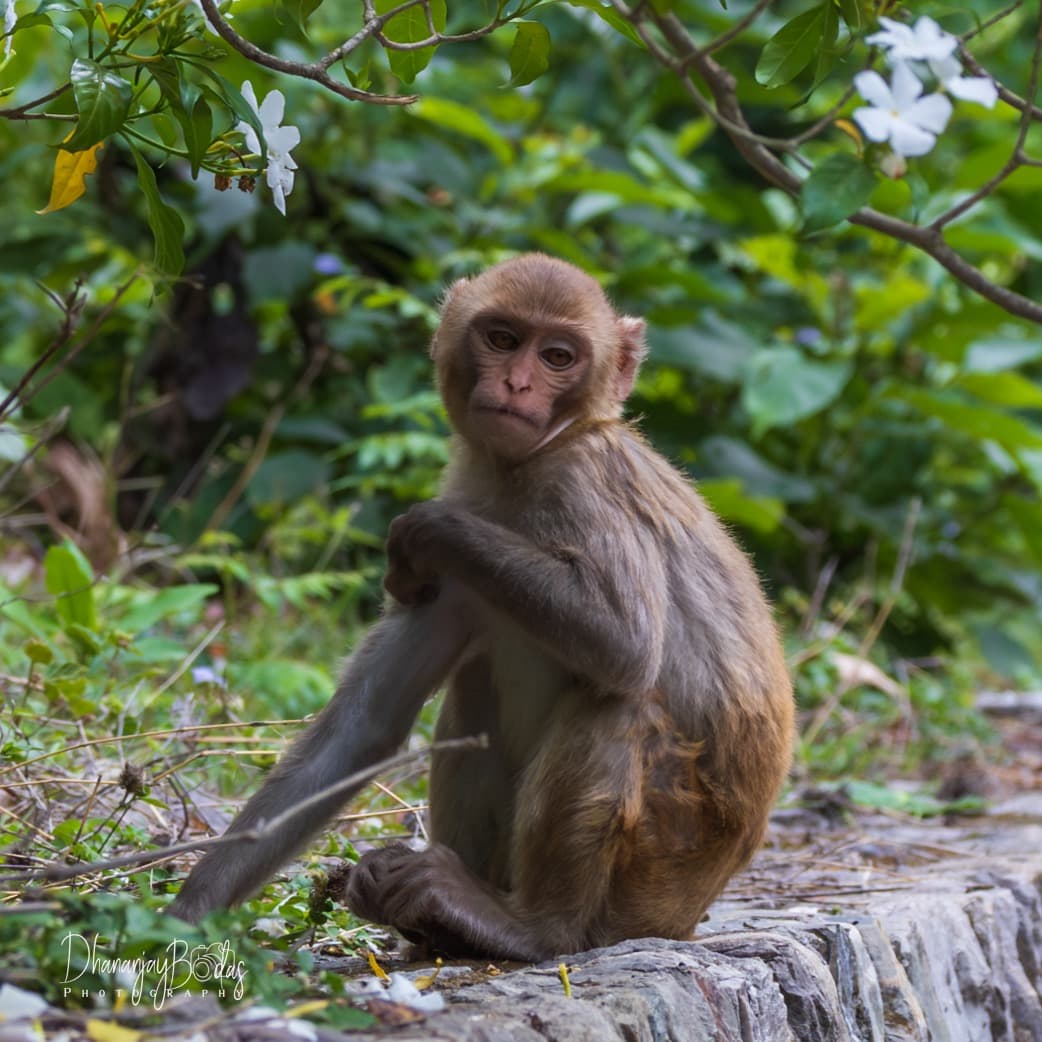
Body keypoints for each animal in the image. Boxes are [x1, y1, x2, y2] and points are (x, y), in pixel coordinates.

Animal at [169, 253, 794, 962]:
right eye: (502, 338)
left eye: (557, 356)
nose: (518, 383)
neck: (519, 474)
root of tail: (688, 915)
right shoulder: (455, 579)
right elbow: (366, 724)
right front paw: (187, 912)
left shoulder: (584, 481)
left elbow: (625, 644)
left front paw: (425, 528)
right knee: (475, 692)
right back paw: (435, 919)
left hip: (657, 871)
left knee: (619, 701)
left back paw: (534, 927)